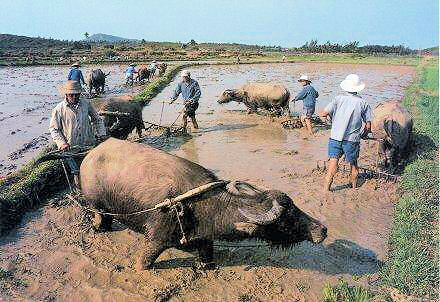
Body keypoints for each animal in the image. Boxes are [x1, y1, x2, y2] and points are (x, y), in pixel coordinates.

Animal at [80, 139, 326, 268]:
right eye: (286, 218)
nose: (322, 229)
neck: (198, 206)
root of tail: (91, 153)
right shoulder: (156, 240)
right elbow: (144, 263)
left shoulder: (205, 240)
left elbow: (207, 258)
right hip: (94, 204)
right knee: (100, 215)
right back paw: (99, 228)